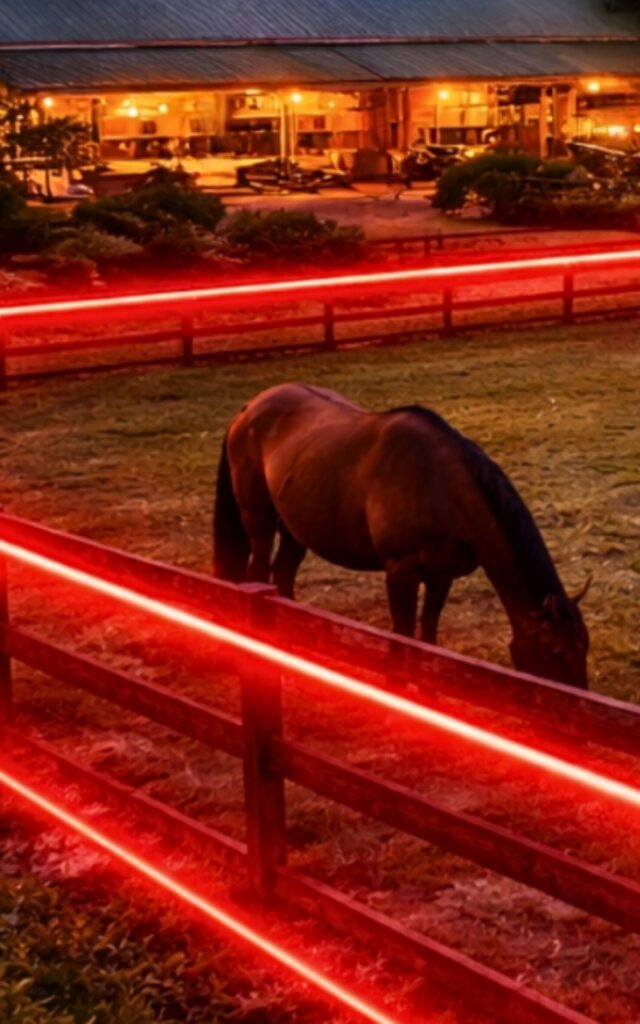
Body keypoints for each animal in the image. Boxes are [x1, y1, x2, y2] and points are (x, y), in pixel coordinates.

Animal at [213, 383, 590, 688]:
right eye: (556, 652)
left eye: (584, 645)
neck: (438, 484)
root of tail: (248, 410)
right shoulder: (400, 573)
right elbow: (403, 633)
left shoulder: (441, 576)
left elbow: (428, 632)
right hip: (259, 520)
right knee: (259, 570)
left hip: (297, 528)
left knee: (284, 574)